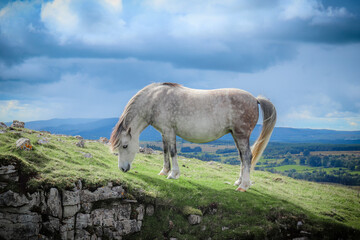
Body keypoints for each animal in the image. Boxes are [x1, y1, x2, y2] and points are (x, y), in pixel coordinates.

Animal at [109, 82, 276, 191]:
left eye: (125, 145)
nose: (122, 168)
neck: (155, 100)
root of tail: (255, 99)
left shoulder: (169, 131)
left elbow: (173, 152)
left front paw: (173, 174)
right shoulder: (164, 132)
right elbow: (165, 152)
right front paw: (164, 171)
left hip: (241, 135)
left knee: (247, 157)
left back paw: (244, 186)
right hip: (236, 135)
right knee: (242, 157)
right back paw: (239, 181)